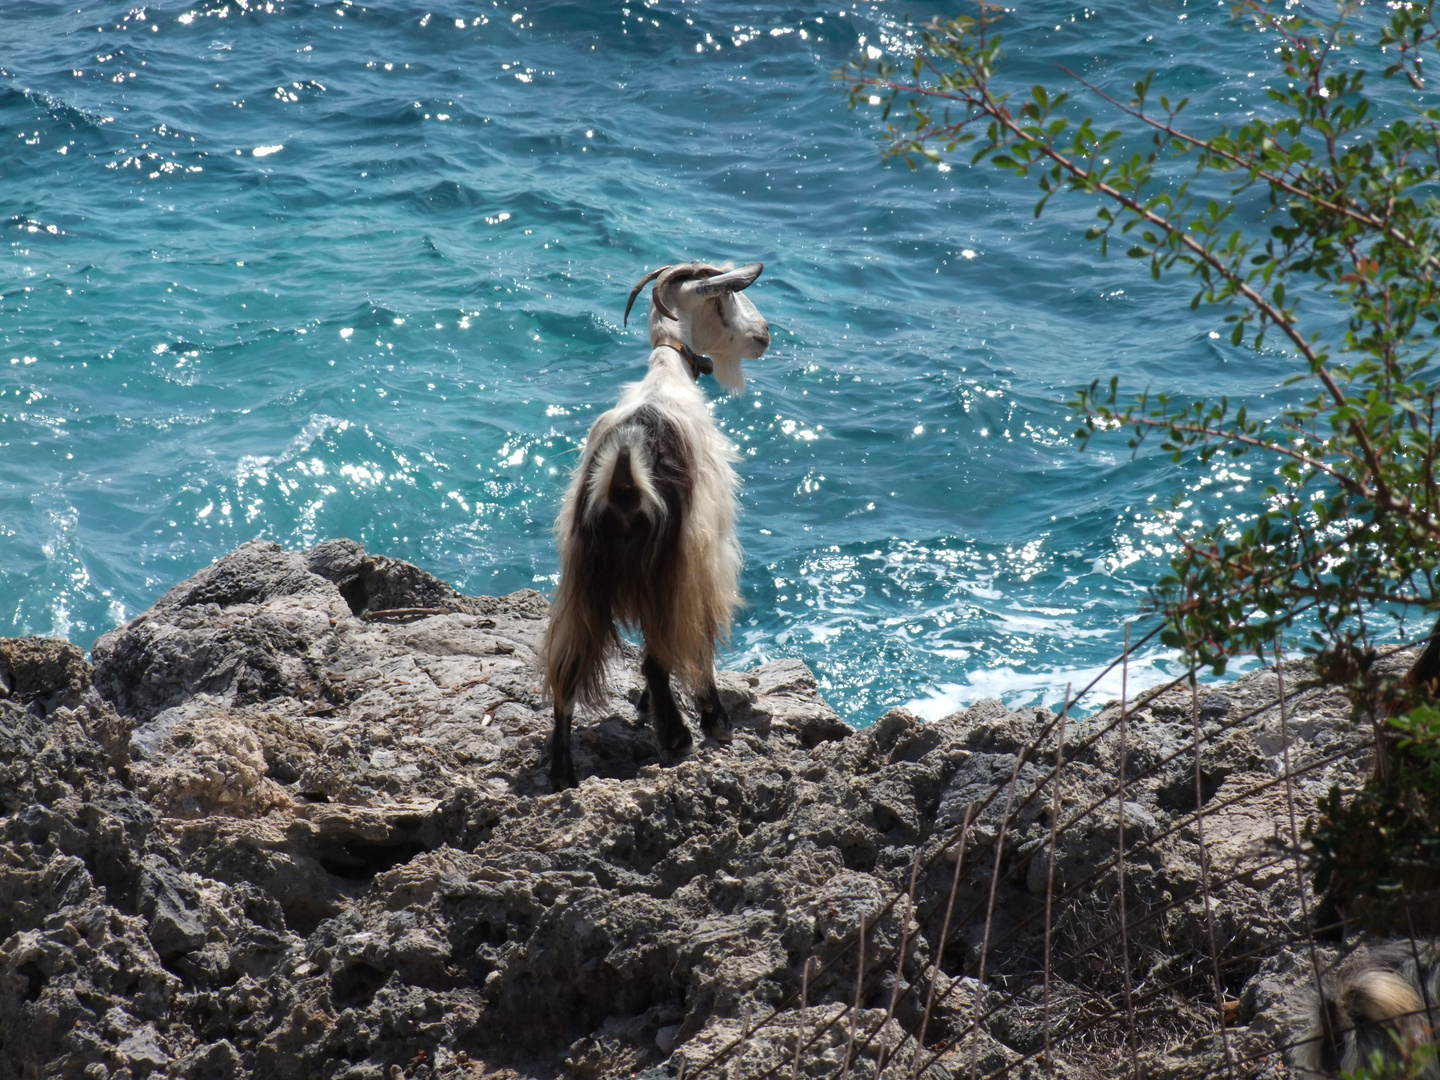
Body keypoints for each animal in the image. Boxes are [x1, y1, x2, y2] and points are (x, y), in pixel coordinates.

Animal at [541, 259, 771, 789]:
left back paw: (563, 771)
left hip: (582, 575)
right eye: (725, 297)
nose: (765, 334)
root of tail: (625, 480)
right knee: (663, 651)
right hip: (671, 568)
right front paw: (711, 719)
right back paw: (683, 734)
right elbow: (695, 645)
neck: (668, 377)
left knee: (566, 666)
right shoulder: (709, 553)